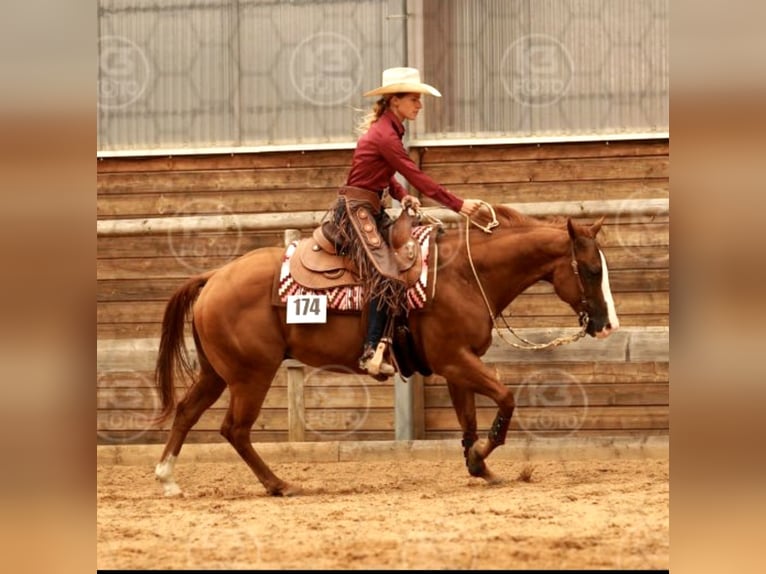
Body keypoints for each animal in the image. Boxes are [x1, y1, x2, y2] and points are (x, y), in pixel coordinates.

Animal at [153, 205, 620, 498]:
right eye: (590, 270)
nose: (607, 325)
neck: (464, 275)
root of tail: (214, 276)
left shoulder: (457, 364)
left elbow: (469, 419)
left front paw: (478, 465)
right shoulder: (456, 359)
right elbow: (505, 398)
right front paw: (482, 458)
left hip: (217, 373)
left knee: (187, 412)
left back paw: (168, 479)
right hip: (251, 374)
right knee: (234, 429)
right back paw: (279, 484)